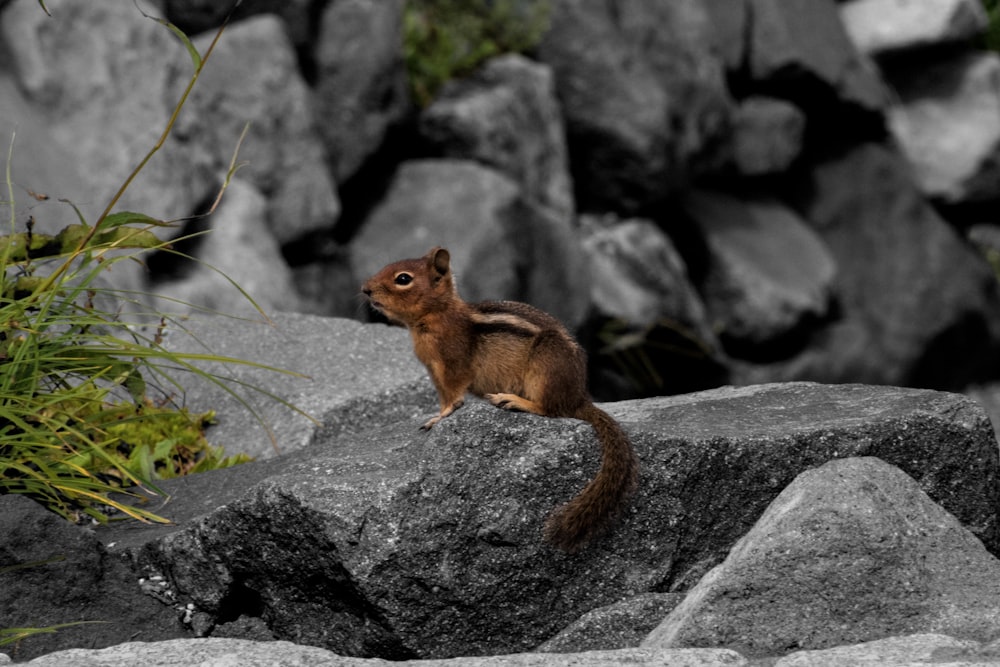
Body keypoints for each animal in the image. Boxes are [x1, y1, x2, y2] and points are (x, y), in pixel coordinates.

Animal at [364, 247, 636, 552]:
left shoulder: (454, 366)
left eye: (403, 279)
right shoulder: (433, 372)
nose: (365, 289)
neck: (438, 314)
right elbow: (443, 395)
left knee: (551, 409)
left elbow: (454, 396)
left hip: (546, 366)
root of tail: (580, 398)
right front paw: (436, 414)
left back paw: (514, 401)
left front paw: (443, 415)